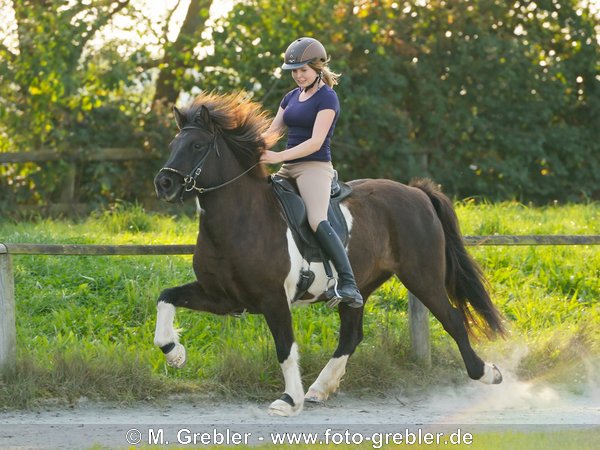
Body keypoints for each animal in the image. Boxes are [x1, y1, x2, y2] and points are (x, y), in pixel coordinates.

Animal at [152, 92, 504, 418]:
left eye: (197, 145)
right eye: (174, 144)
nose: (163, 184)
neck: (239, 221)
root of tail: (417, 192)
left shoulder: (273, 299)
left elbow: (285, 346)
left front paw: (288, 400)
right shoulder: (222, 297)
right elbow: (166, 297)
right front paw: (174, 352)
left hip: (422, 277)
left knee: (452, 320)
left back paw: (488, 373)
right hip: (361, 287)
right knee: (352, 335)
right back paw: (319, 389)